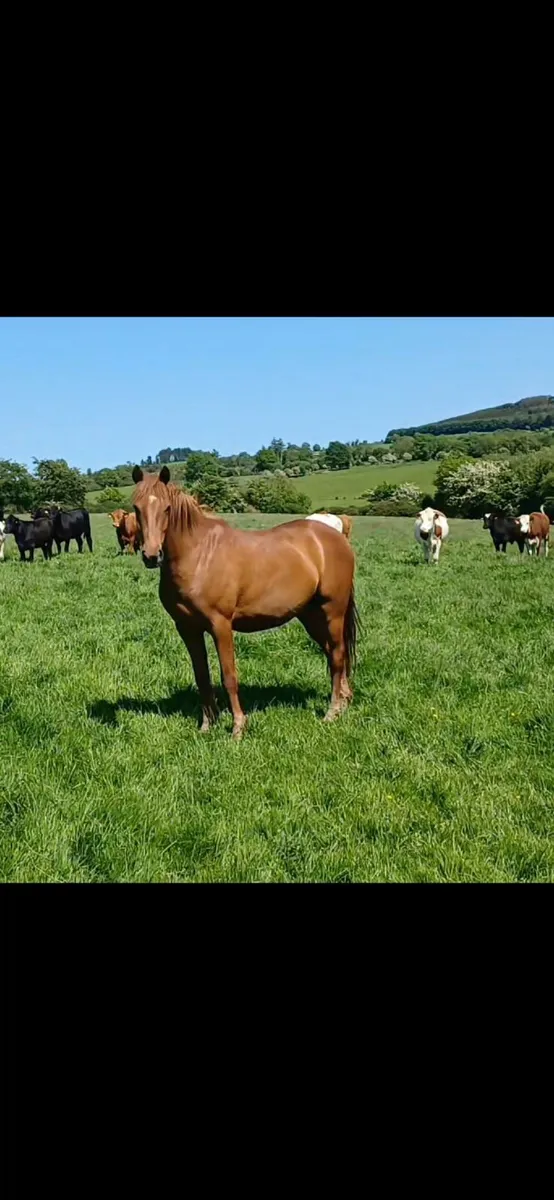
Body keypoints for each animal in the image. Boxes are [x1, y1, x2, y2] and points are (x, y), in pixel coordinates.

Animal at [131, 466, 359, 740]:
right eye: (136, 508)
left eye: (166, 508)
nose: (151, 555)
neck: (198, 555)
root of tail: (336, 536)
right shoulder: (187, 628)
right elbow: (202, 676)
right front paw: (207, 725)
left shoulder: (220, 625)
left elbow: (228, 676)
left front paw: (238, 728)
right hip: (310, 614)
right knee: (333, 653)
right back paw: (344, 702)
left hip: (332, 610)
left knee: (336, 654)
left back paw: (332, 711)